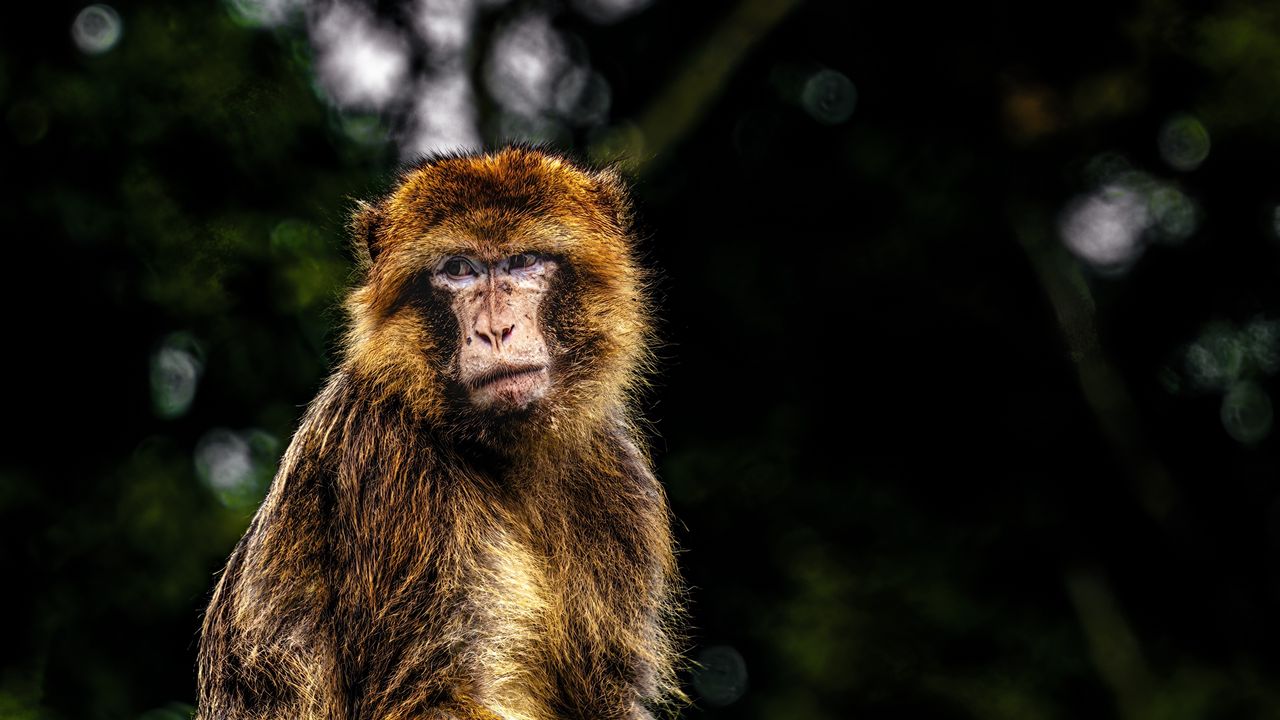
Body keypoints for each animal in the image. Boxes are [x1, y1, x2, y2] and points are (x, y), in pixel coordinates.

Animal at [196, 147, 685, 720]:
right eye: (458, 270)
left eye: (524, 262)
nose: (495, 330)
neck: (501, 453)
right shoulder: (391, 468)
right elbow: (432, 696)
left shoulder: (618, 482)